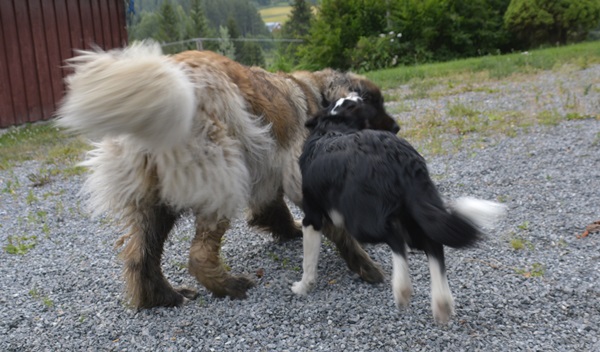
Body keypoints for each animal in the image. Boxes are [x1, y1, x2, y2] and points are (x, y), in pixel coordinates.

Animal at [56, 42, 400, 308]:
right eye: (375, 104)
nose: (396, 128)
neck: (314, 95)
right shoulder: (296, 169)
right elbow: (333, 225)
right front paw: (363, 262)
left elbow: (273, 207)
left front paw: (288, 230)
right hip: (221, 178)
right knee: (198, 255)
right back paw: (230, 286)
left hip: (153, 201)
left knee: (141, 256)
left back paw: (165, 297)